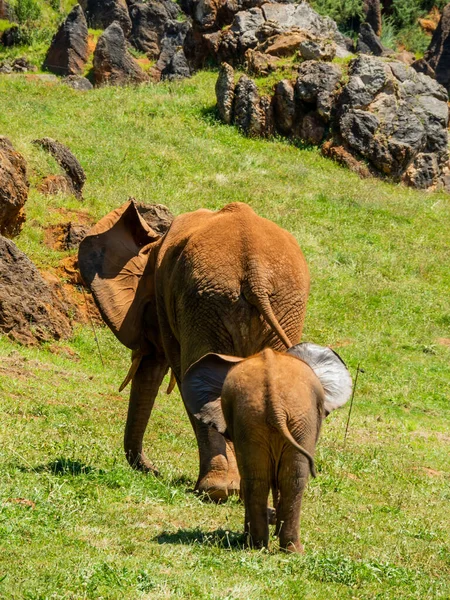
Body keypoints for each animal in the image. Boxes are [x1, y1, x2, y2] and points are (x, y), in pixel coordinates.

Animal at [78, 199, 310, 500]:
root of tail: (255, 272)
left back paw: (215, 490)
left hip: (209, 300)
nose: (153, 470)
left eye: (146, 312)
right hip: (279, 303)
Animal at [182, 342, 352, 552]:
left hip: (276, 417)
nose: (274, 521)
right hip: (270, 419)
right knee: (276, 478)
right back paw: (274, 547)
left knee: (272, 478)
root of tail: (275, 398)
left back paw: (271, 547)